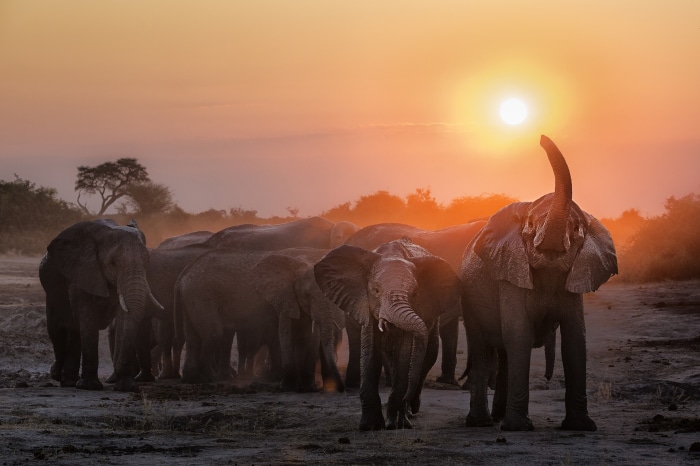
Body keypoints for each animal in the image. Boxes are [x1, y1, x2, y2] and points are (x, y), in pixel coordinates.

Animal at [39, 219, 163, 391]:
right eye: (113, 263)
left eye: (147, 261)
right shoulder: (81, 271)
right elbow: (87, 317)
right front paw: (90, 387)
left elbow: (123, 316)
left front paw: (125, 386)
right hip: (51, 290)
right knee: (57, 329)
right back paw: (58, 375)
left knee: (73, 330)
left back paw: (68, 381)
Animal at [175, 248, 345, 392]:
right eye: (306, 294)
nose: (341, 388)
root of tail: (184, 273)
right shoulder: (282, 299)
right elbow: (282, 335)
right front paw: (282, 381)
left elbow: (306, 336)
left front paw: (305, 386)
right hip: (203, 296)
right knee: (214, 334)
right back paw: (211, 378)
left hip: (192, 297)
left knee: (192, 338)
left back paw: (194, 379)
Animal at [314, 238, 462, 430]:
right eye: (376, 290)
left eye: (415, 294)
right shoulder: (366, 305)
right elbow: (370, 352)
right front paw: (370, 426)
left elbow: (405, 354)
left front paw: (396, 424)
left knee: (429, 355)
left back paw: (408, 413)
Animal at [460, 135, 617, 431]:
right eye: (530, 225)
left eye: (577, 229)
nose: (541, 138)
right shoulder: (511, 273)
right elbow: (519, 334)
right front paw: (519, 428)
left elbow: (575, 338)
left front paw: (581, 427)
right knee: (483, 350)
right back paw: (481, 423)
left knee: (503, 353)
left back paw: (498, 417)